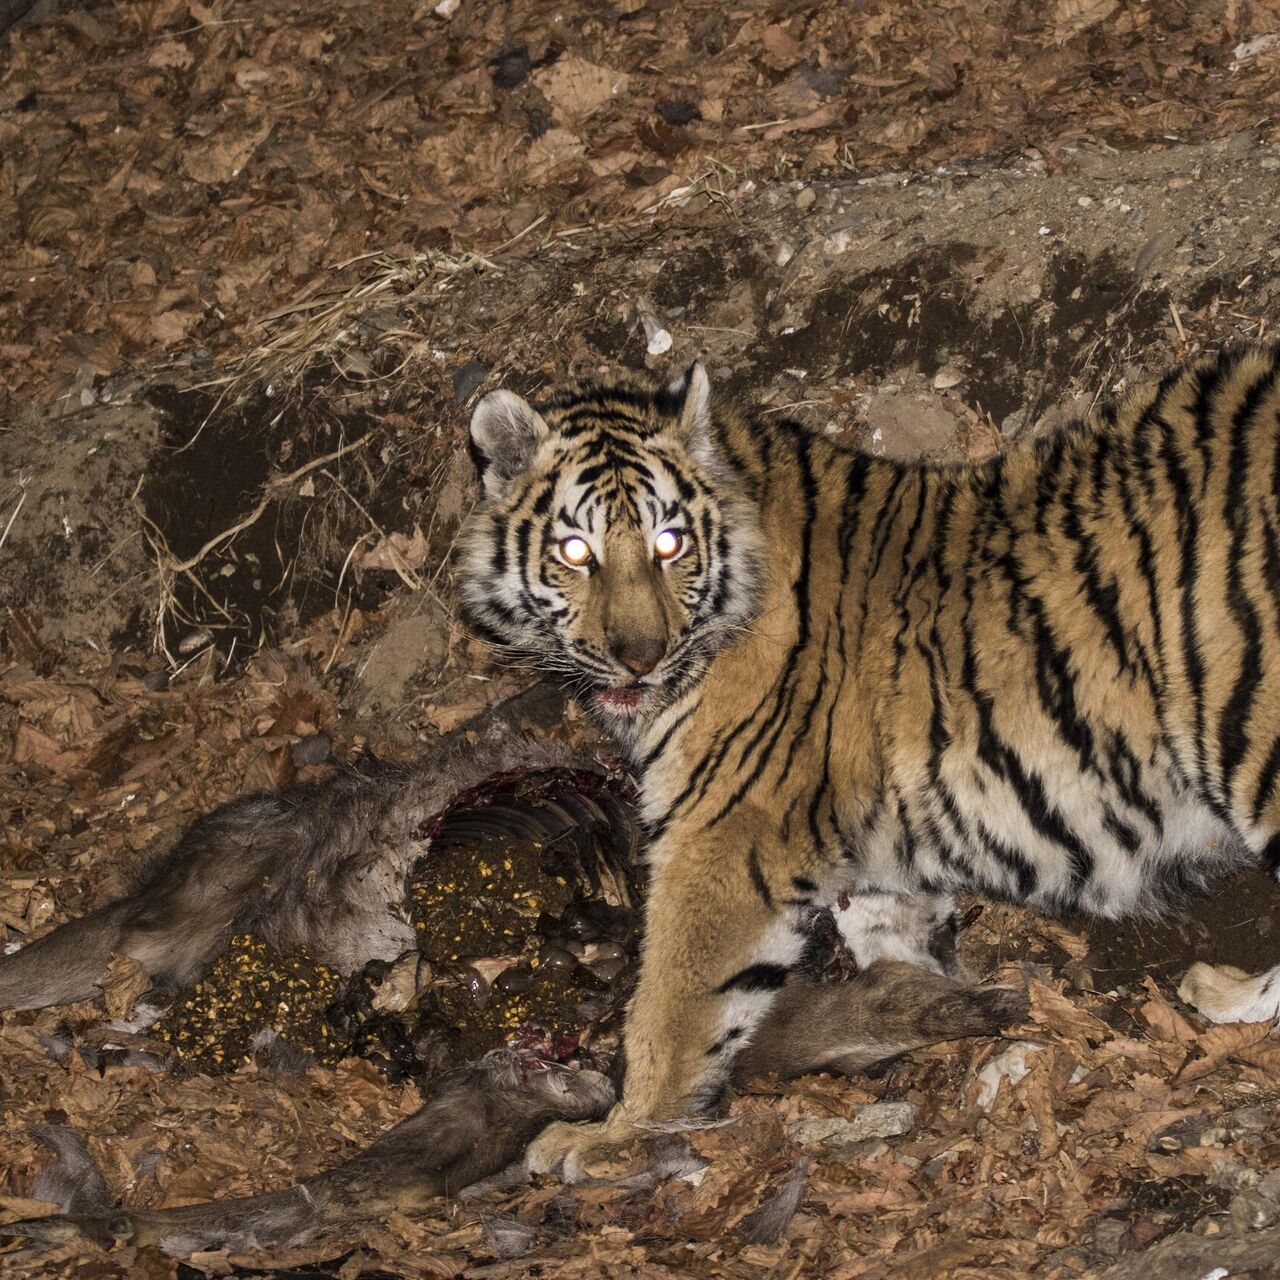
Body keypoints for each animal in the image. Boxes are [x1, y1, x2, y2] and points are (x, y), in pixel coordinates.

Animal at [460, 345, 1280, 1172]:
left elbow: (672, 1005)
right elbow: (893, 947)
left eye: (670, 543)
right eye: (575, 552)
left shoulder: (720, 838)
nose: (640, 656)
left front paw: (613, 1136)